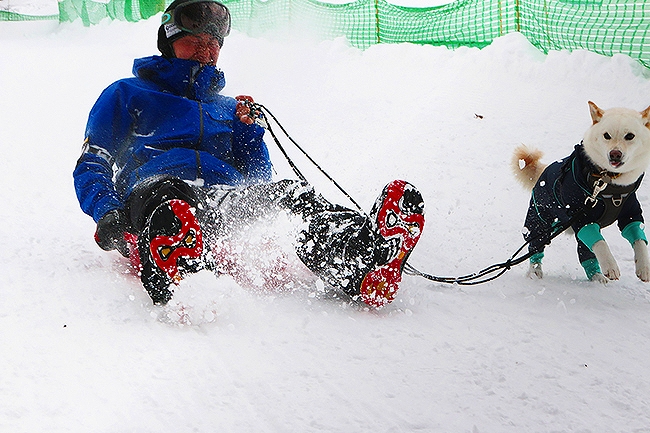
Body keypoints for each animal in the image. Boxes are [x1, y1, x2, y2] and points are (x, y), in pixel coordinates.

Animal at [512, 101, 648, 284]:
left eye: (630, 136)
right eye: (606, 135)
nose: (615, 154)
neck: (607, 183)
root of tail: (544, 171)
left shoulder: (631, 214)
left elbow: (639, 240)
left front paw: (644, 267)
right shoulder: (583, 218)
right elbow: (601, 244)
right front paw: (610, 265)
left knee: (586, 251)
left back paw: (596, 276)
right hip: (540, 221)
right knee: (535, 247)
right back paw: (535, 271)